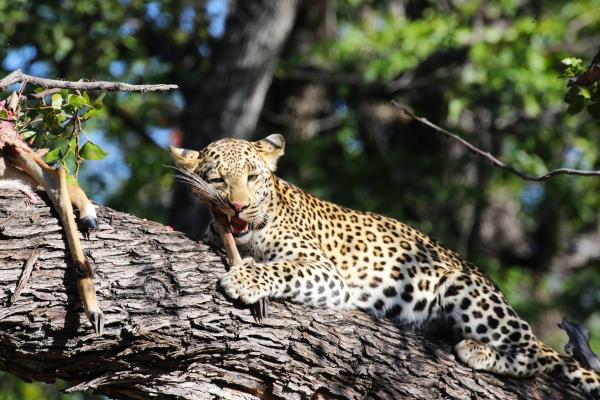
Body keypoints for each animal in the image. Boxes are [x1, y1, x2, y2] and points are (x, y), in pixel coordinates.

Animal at [171, 135, 600, 400]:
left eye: (252, 176)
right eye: (217, 179)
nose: (238, 206)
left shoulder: (326, 273)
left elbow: (280, 268)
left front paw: (245, 278)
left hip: (465, 289)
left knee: (536, 354)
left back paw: (477, 350)